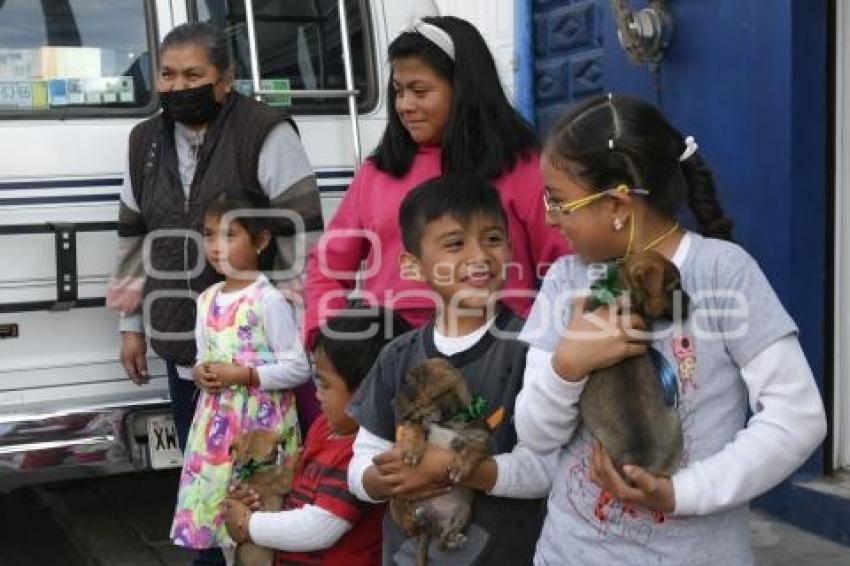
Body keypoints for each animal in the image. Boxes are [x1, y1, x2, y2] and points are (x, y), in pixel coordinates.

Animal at [392, 362, 490, 566]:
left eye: (408, 384)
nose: (392, 401)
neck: (445, 420)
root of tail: (433, 521)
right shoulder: (419, 422)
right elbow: (416, 426)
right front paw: (412, 449)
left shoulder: (481, 441)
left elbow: (473, 450)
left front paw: (459, 467)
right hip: (397, 498)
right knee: (412, 526)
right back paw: (418, 517)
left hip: (464, 512)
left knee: (441, 541)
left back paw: (453, 541)